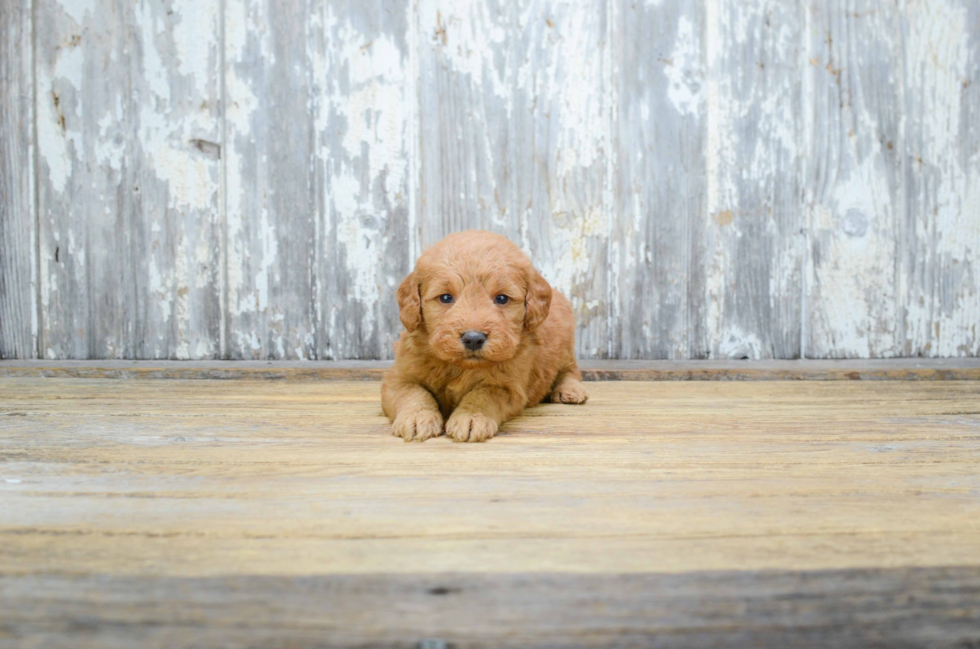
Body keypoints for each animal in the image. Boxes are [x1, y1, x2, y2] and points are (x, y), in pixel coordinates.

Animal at [378, 229, 584, 440]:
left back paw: (570, 390)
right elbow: (412, 392)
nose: (474, 339)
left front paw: (471, 417)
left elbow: (483, 395)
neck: (461, 367)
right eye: (446, 297)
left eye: (501, 298)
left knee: (570, 370)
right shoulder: (398, 377)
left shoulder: (508, 387)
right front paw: (417, 416)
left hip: (565, 348)